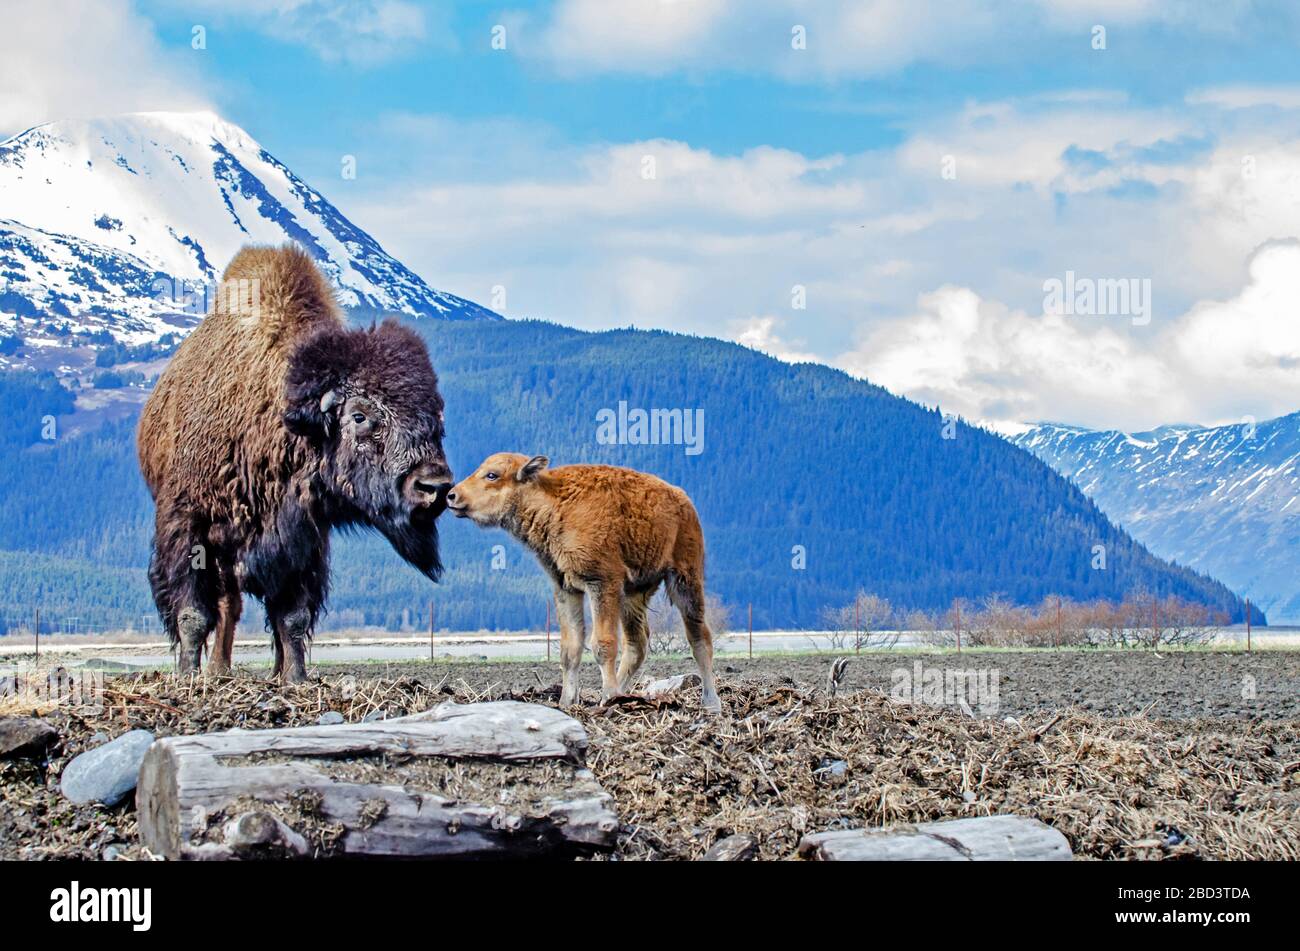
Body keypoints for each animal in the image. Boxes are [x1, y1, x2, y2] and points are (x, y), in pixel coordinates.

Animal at [139, 241, 454, 680]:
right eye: (359, 416)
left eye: (436, 418)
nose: (434, 486)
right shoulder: (187, 524)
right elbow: (193, 613)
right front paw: (187, 676)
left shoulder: (304, 540)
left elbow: (293, 617)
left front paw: (296, 677)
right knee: (225, 604)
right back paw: (215, 672)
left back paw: (255, 670)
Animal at [441, 454, 717, 711]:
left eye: (492, 475)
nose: (452, 495)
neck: (553, 503)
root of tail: (684, 502)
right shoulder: (566, 588)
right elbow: (570, 649)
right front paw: (567, 702)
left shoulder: (602, 584)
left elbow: (602, 644)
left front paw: (608, 698)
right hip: (634, 593)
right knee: (637, 643)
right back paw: (623, 692)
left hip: (684, 579)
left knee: (699, 637)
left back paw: (711, 702)